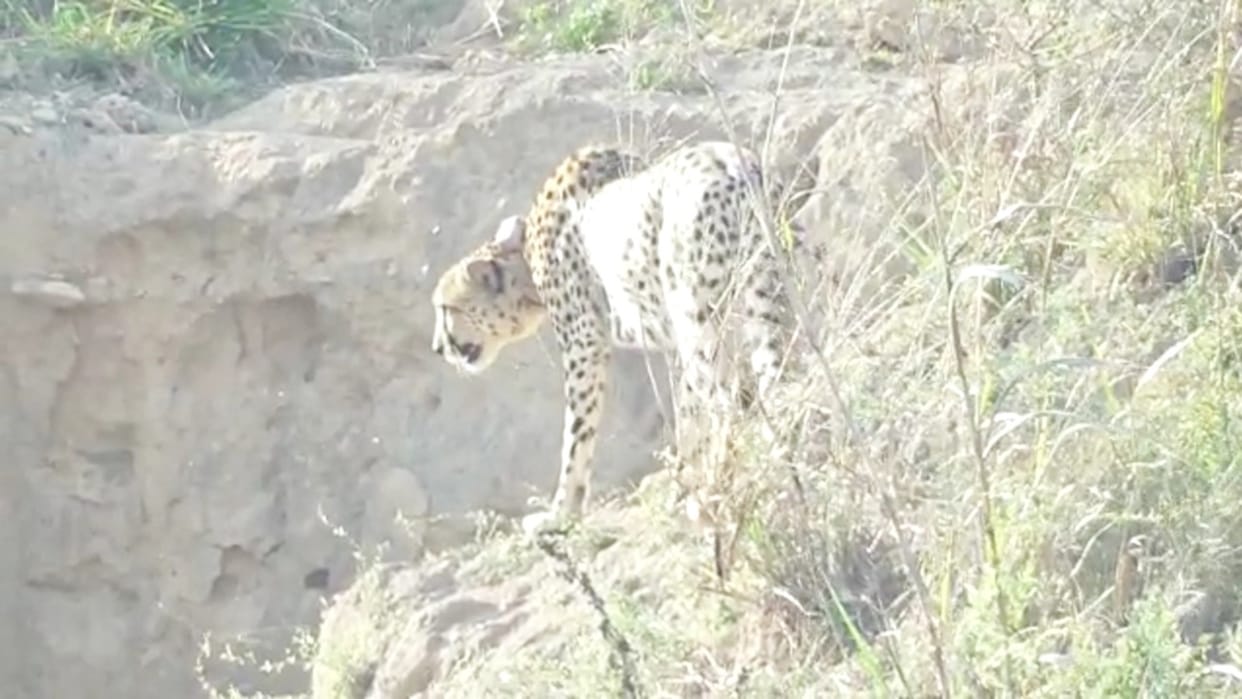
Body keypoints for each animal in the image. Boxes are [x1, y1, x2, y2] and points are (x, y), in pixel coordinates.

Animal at [431, 140, 799, 534]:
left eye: (446, 308)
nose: (437, 348)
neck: (526, 257)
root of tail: (732, 165)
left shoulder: (584, 347)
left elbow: (576, 435)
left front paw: (560, 513)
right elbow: (688, 415)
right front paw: (685, 482)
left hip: (701, 317)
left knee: (731, 403)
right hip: (766, 300)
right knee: (776, 382)